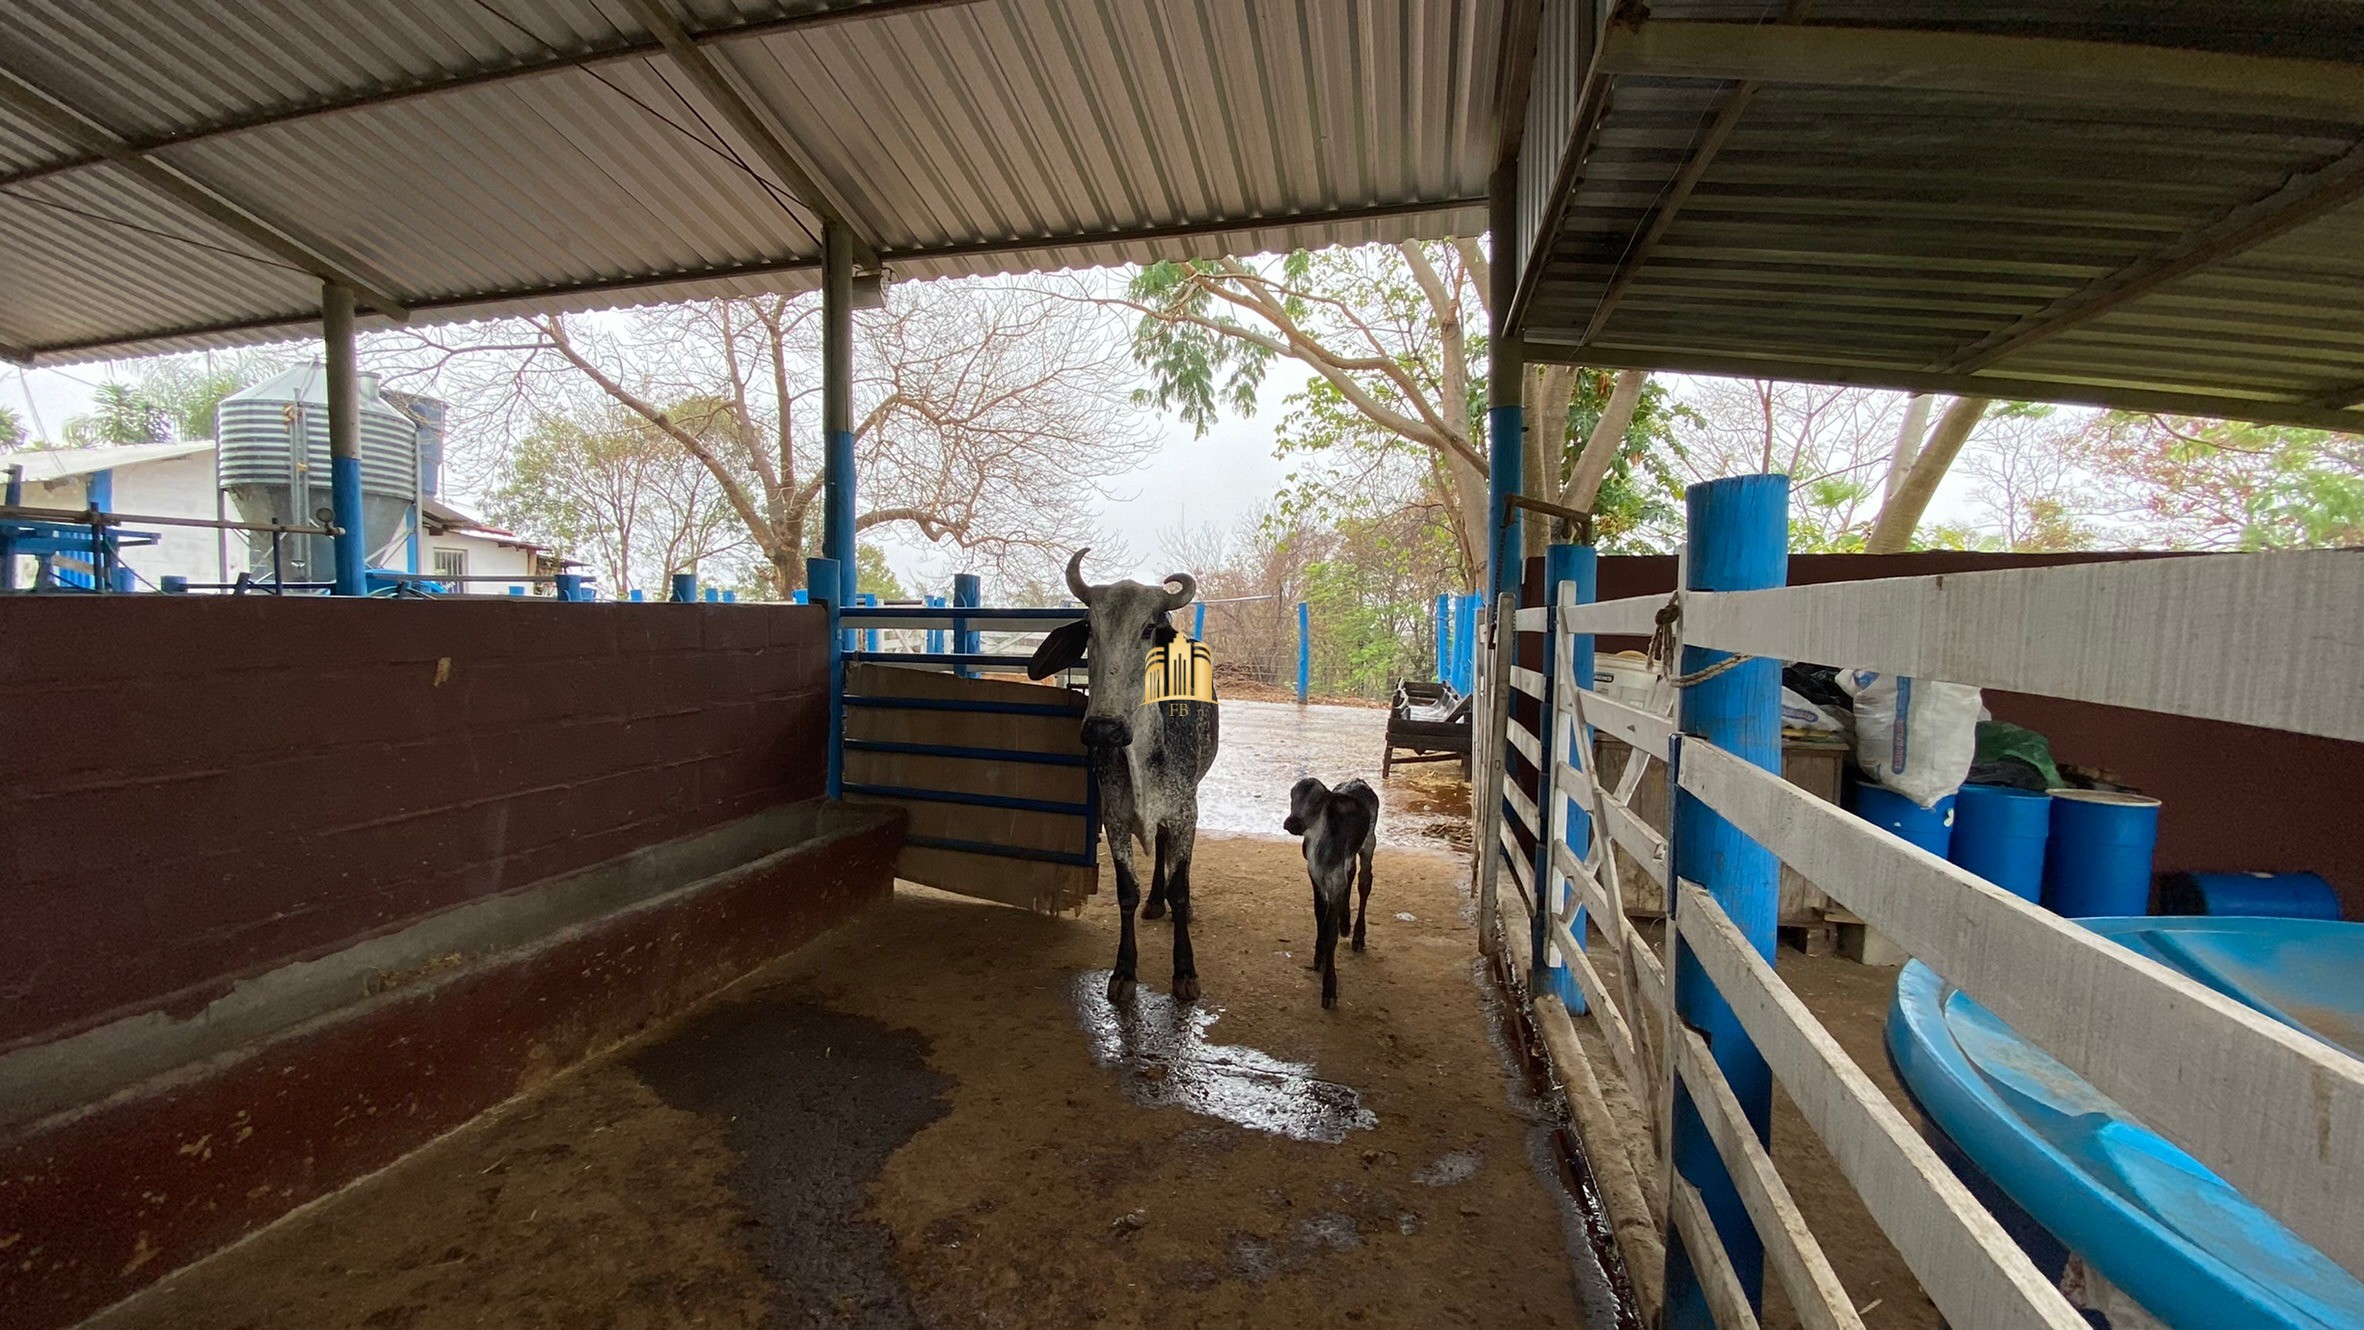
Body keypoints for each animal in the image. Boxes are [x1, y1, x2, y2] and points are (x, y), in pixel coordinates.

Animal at [1030, 548, 1219, 1001]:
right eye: (1089, 627)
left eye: (1149, 628)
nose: (1104, 728)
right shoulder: (1113, 818)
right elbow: (1125, 893)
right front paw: (1124, 970)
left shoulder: (1185, 813)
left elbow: (1180, 890)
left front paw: (1185, 971)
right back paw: (1153, 902)